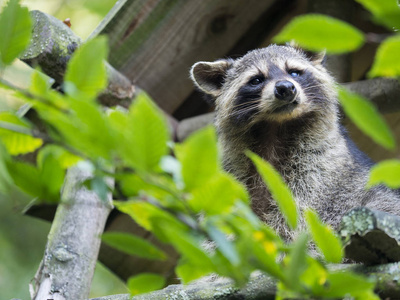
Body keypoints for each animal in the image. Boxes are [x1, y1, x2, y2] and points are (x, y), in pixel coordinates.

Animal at [189, 44, 400, 239]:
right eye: (256, 79)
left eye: (293, 72)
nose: (285, 88)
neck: (276, 127)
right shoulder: (233, 170)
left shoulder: (318, 166)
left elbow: (298, 212)